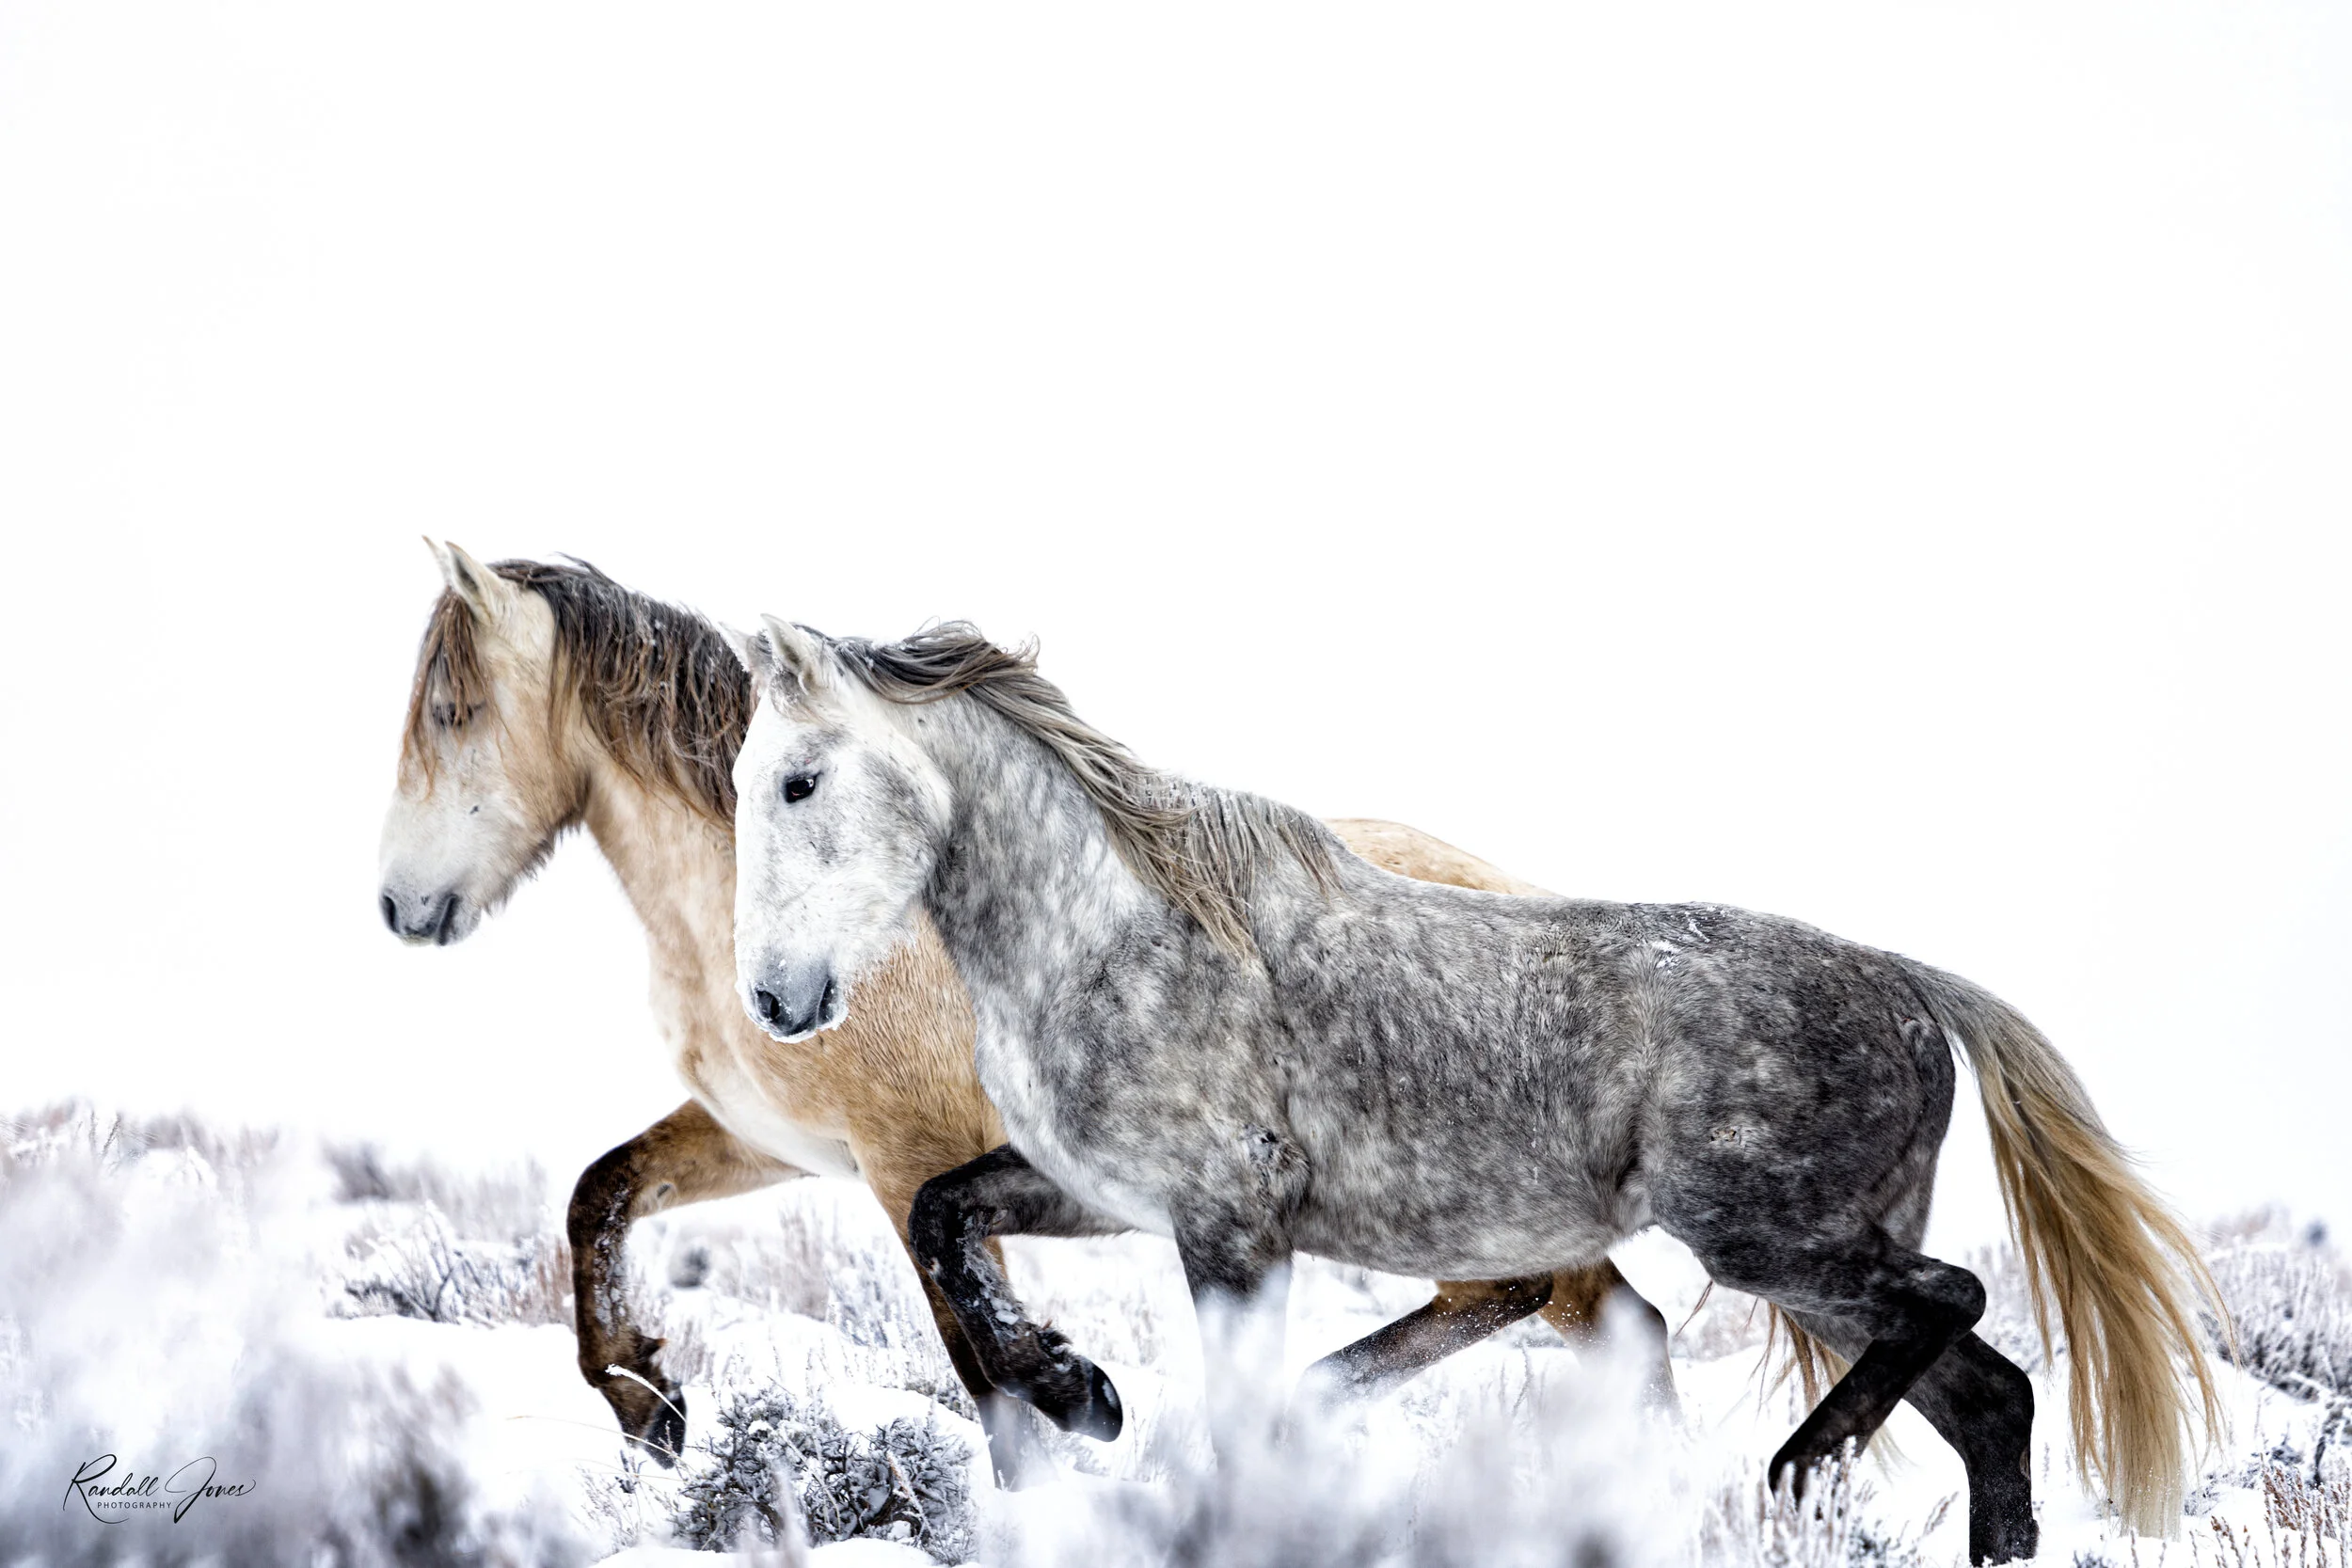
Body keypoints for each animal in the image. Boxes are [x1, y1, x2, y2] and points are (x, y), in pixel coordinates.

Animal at [376, 542, 1680, 1478]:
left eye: (450, 713)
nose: (398, 902)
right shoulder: (775, 1141)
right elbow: (598, 1195)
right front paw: (648, 1401)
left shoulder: (910, 1163)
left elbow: (991, 1384)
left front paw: (1081, 1398)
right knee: (1622, 1328)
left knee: (1547, 1305)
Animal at [722, 612, 2224, 1564]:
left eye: (799, 779)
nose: (777, 999)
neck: (1118, 931)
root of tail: (1911, 985)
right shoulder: (1098, 1188)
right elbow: (943, 1219)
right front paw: (1078, 1387)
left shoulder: (1229, 1221)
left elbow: (1240, 1405)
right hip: (1815, 1266)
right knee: (1994, 1398)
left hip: (1772, 1241)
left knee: (1957, 1307)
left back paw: (1793, 1471)